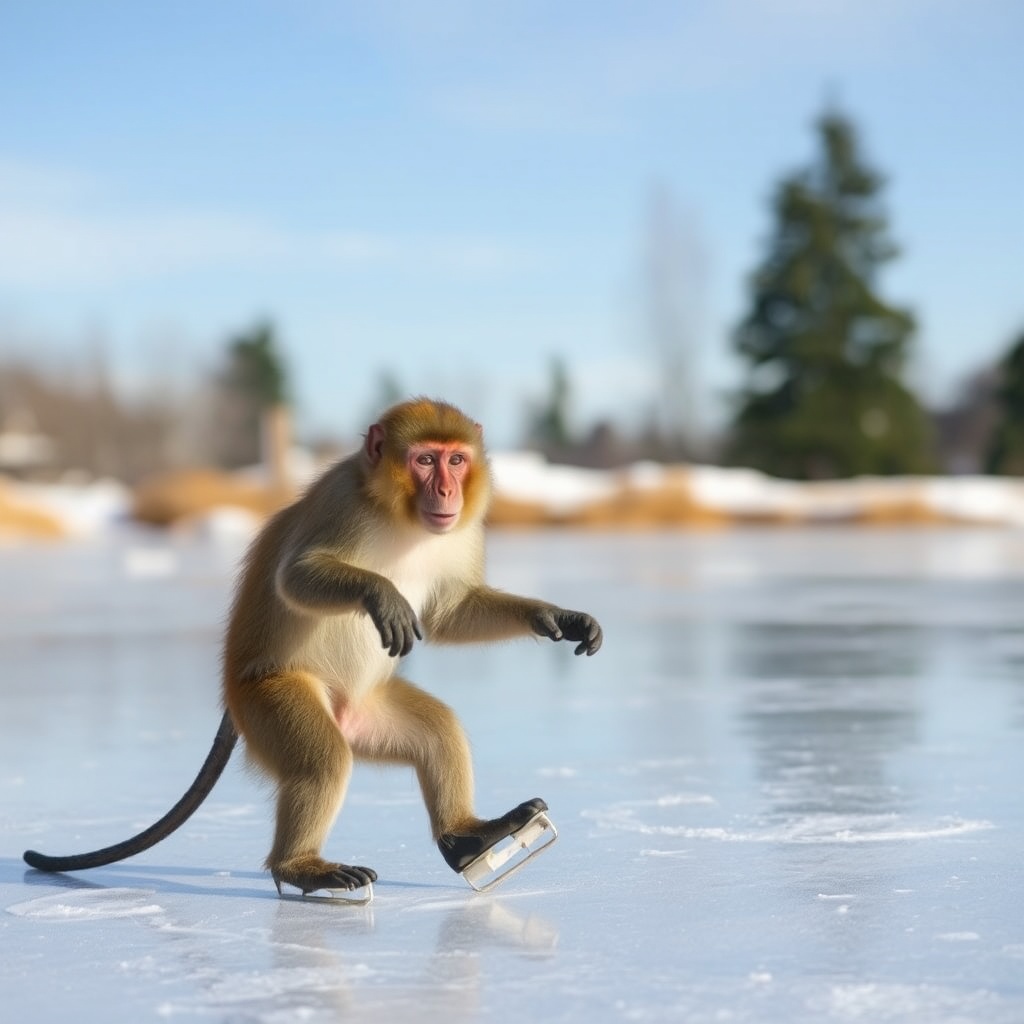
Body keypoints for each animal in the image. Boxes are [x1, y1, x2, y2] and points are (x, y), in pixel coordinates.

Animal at [24, 397, 603, 897]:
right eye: (424, 460)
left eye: (456, 460)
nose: (446, 491)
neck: (400, 515)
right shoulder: (342, 502)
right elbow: (294, 577)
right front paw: (379, 592)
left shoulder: (464, 529)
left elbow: (448, 612)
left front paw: (556, 617)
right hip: (268, 700)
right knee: (322, 757)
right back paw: (300, 866)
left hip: (367, 714)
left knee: (436, 732)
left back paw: (469, 836)